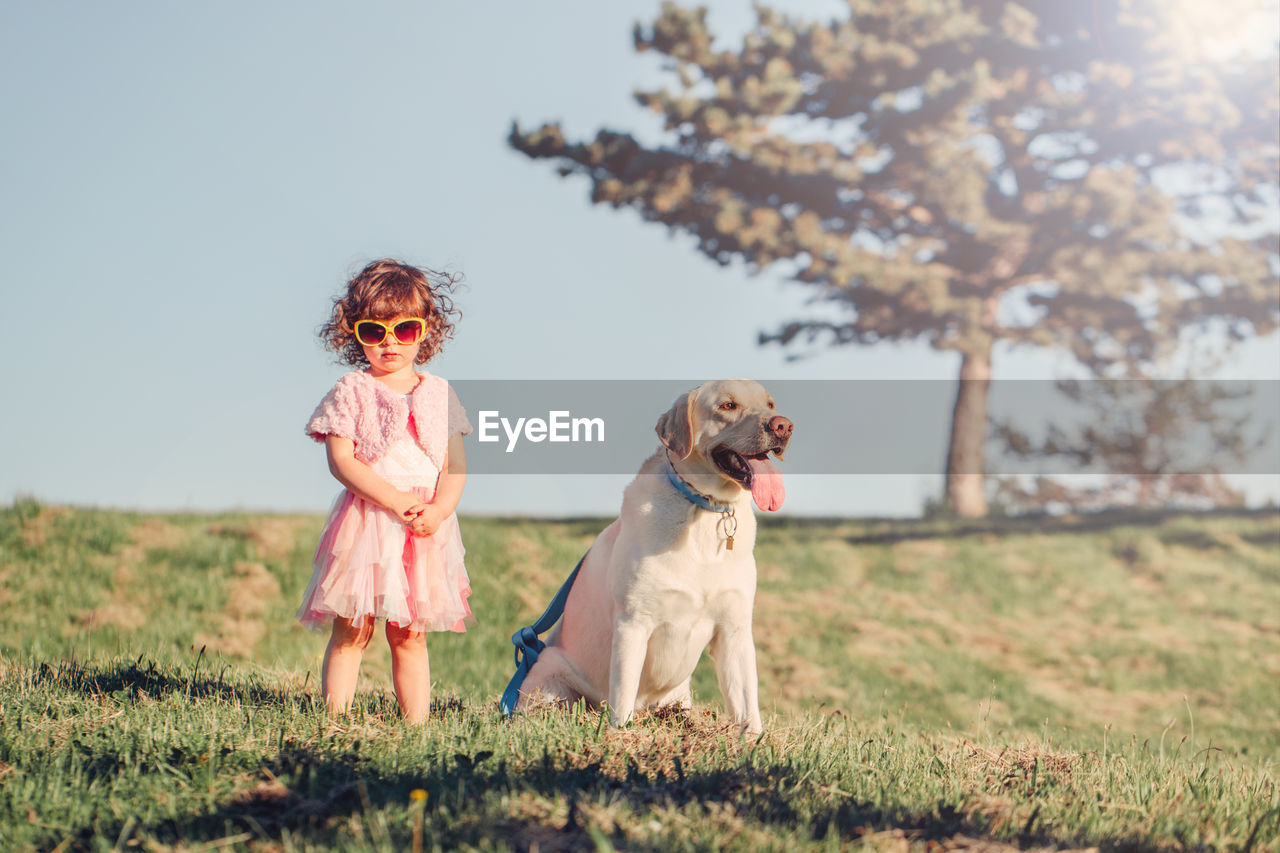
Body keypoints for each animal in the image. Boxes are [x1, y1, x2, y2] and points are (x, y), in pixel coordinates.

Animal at [512, 379, 788, 732]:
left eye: (770, 404)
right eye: (727, 405)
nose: (783, 425)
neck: (704, 508)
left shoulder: (734, 630)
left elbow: (748, 707)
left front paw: (753, 740)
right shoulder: (633, 623)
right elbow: (623, 697)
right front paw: (620, 735)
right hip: (550, 672)